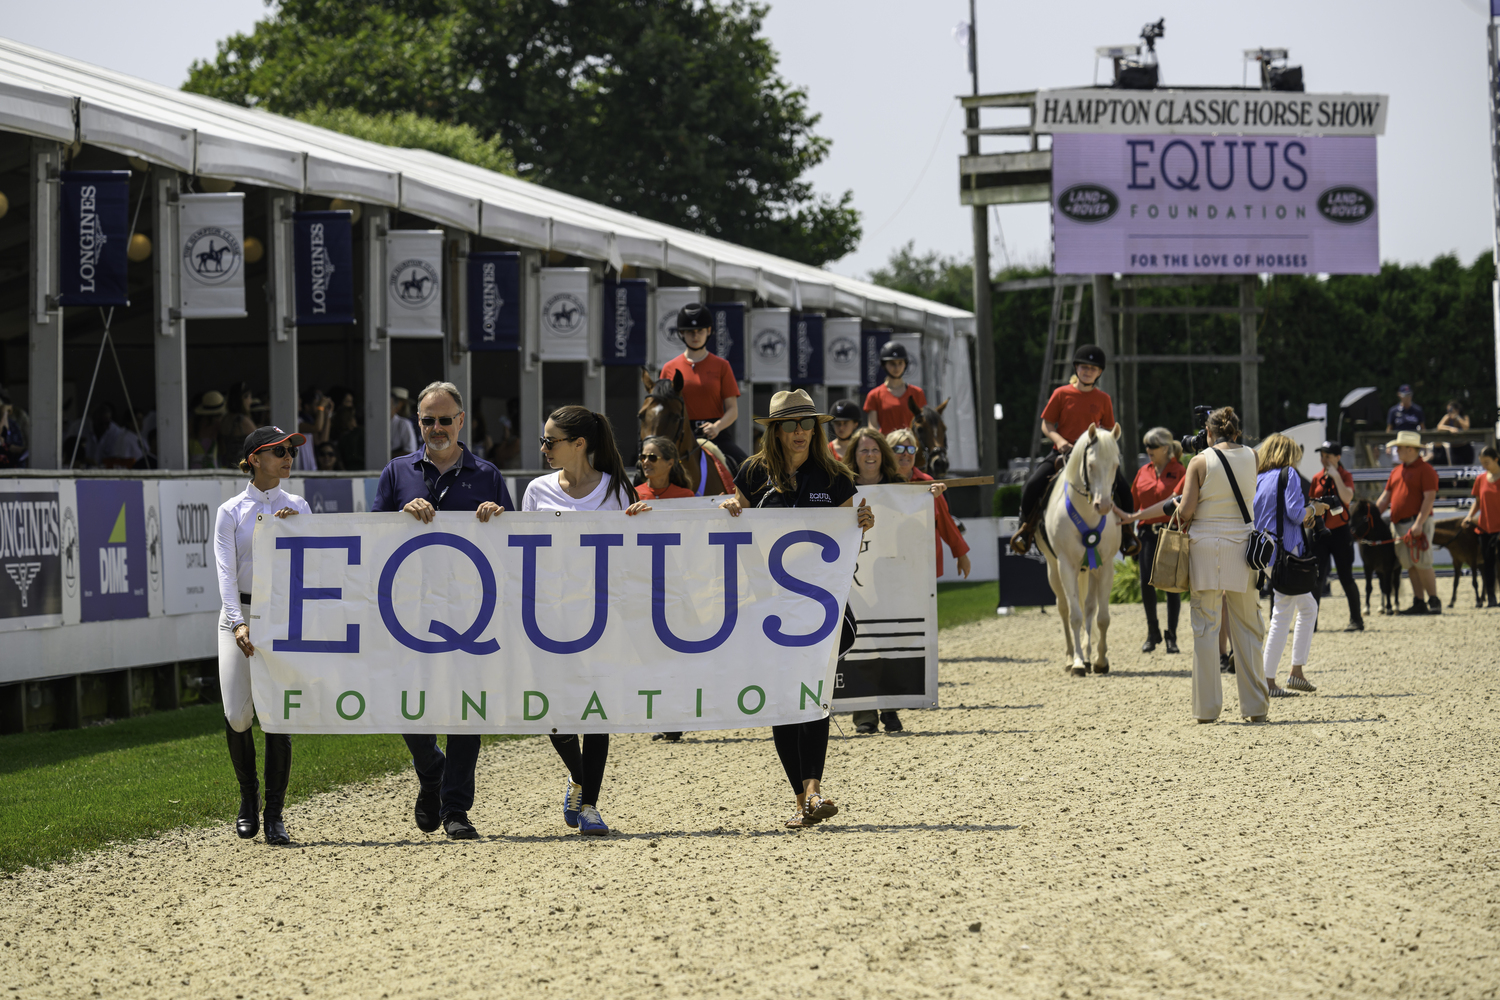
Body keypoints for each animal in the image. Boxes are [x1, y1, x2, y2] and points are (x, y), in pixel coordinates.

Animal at [1044, 422, 1128, 680]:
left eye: (1116, 465)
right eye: (1091, 465)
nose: (1104, 506)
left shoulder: (1106, 566)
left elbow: (1101, 617)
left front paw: (1100, 661)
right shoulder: (1066, 566)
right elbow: (1075, 616)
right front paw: (1079, 664)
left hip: (1090, 569)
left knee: (1090, 607)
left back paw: (1089, 657)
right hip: (1053, 570)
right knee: (1063, 608)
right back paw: (1071, 658)